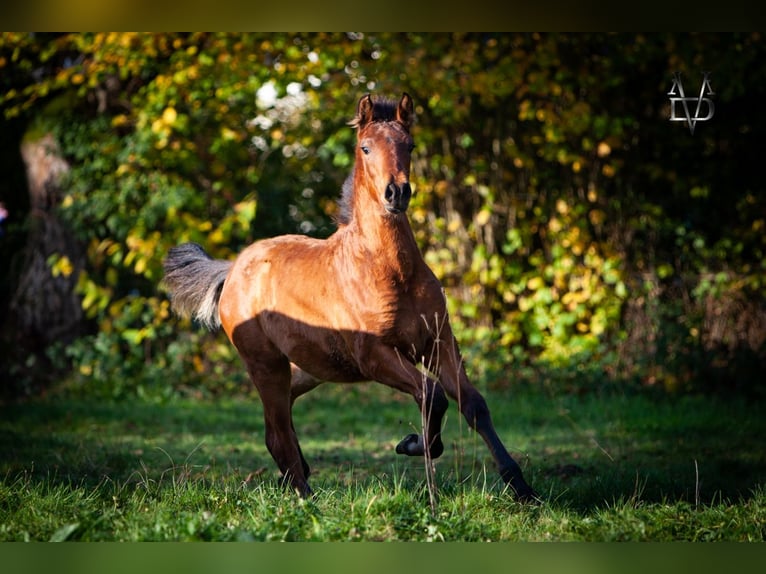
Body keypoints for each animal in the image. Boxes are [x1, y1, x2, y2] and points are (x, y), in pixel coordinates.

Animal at [162, 93, 536, 504]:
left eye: (409, 145)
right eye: (366, 147)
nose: (397, 193)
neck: (390, 270)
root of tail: (233, 268)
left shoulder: (438, 342)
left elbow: (474, 405)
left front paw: (522, 488)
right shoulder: (374, 355)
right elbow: (432, 394)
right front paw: (412, 443)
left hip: (307, 368)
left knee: (282, 418)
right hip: (266, 364)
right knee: (277, 432)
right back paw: (306, 498)